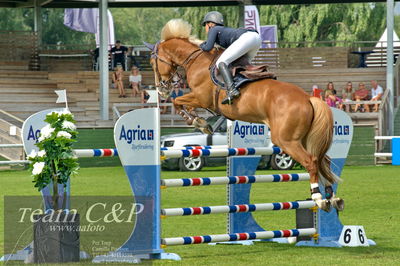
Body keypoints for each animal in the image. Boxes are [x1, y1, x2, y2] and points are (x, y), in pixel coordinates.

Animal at [148, 19, 342, 212]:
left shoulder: (201, 98)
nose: (161, 89)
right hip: (304, 139)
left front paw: (198, 122)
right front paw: (201, 122)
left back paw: (318, 197)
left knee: (311, 161)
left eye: (152, 61)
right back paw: (332, 197)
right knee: (323, 161)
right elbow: (181, 103)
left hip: (286, 140)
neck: (196, 60)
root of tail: (308, 98)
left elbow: (177, 101)